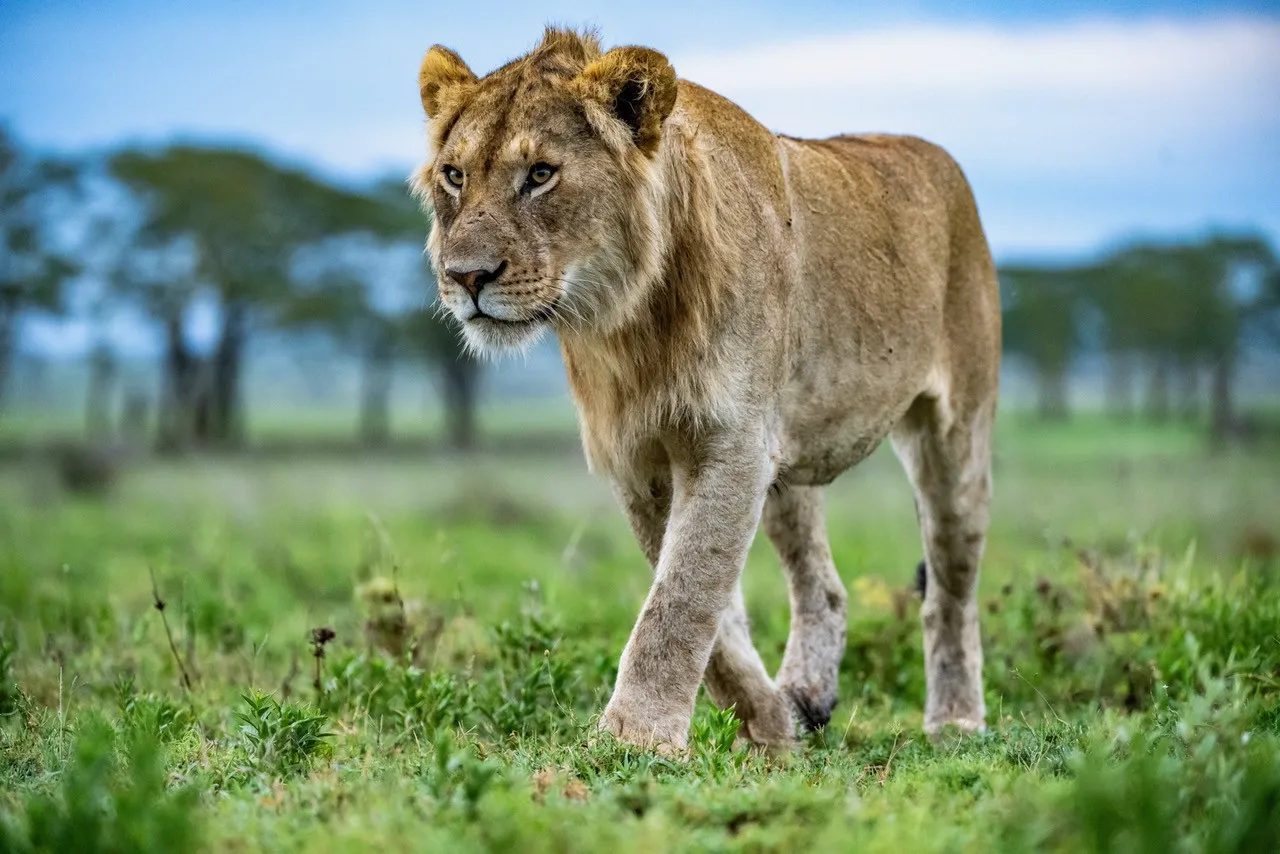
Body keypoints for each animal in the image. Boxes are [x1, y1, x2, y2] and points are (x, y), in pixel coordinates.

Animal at [413, 27, 1001, 751]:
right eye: (455, 175)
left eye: (541, 174)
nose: (465, 277)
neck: (629, 320)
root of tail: (940, 157)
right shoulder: (641, 459)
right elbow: (707, 610)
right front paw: (770, 724)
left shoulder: (733, 444)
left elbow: (683, 595)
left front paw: (634, 740)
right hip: (788, 460)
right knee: (824, 586)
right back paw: (807, 694)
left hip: (955, 433)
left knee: (951, 588)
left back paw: (957, 720)